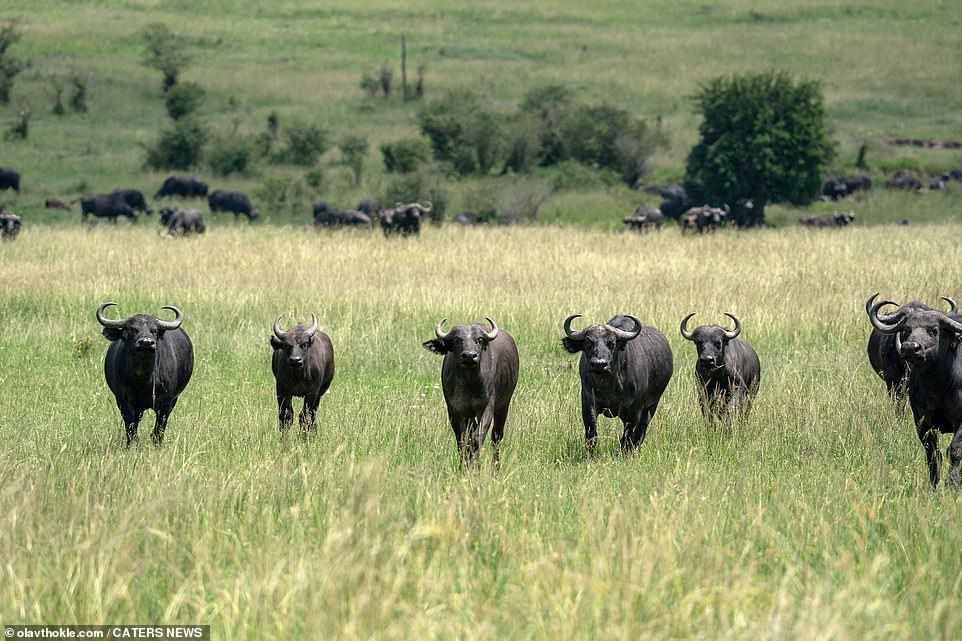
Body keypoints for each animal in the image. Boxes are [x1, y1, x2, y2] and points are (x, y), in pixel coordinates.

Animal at [97, 302, 195, 444]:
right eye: (132, 329)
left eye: (154, 330)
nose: (146, 342)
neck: (143, 379)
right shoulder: (123, 402)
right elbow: (131, 429)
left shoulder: (166, 402)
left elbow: (158, 431)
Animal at [422, 318, 516, 464]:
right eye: (457, 340)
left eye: (479, 339)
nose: (470, 356)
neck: (470, 384)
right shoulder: (455, 410)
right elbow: (463, 440)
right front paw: (464, 465)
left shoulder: (487, 407)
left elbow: (477, 439)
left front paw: (475, 465)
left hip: (504, 405)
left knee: (496, 436)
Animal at [560, 314, 672, 450]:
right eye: (588, 342)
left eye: (611, 343)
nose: (599, 364)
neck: (608, 385)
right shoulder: (588, 403)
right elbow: (591, 433)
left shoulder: (634, 411)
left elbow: (628, 437)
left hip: (652, 406)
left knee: (641, 431)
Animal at [872, 292, 962, 488]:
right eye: (906, 329)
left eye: (934, 330)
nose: (910, 348)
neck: (939, 386)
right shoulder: (921, 422)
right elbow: (933, 454)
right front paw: (934, 484)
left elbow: (955, 450)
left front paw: (952, 483)